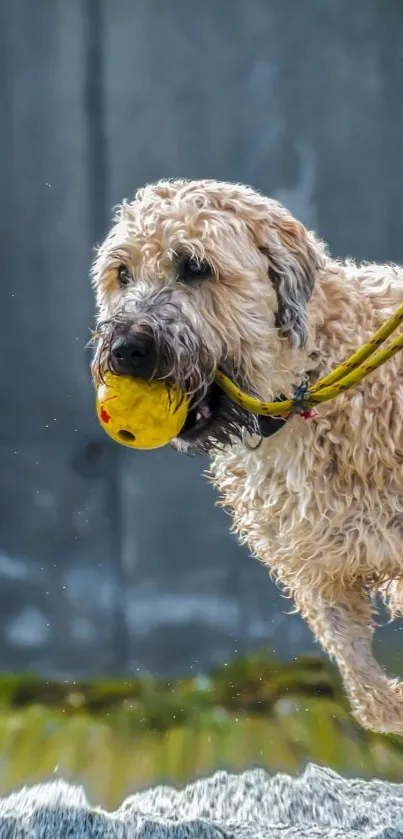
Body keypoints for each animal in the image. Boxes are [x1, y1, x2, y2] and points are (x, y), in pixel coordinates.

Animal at [90, 179, 403, 736]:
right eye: (121, 273)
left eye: (195, 266)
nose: (125, 349)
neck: (306, 379)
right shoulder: (318, 570)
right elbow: (366, 683)